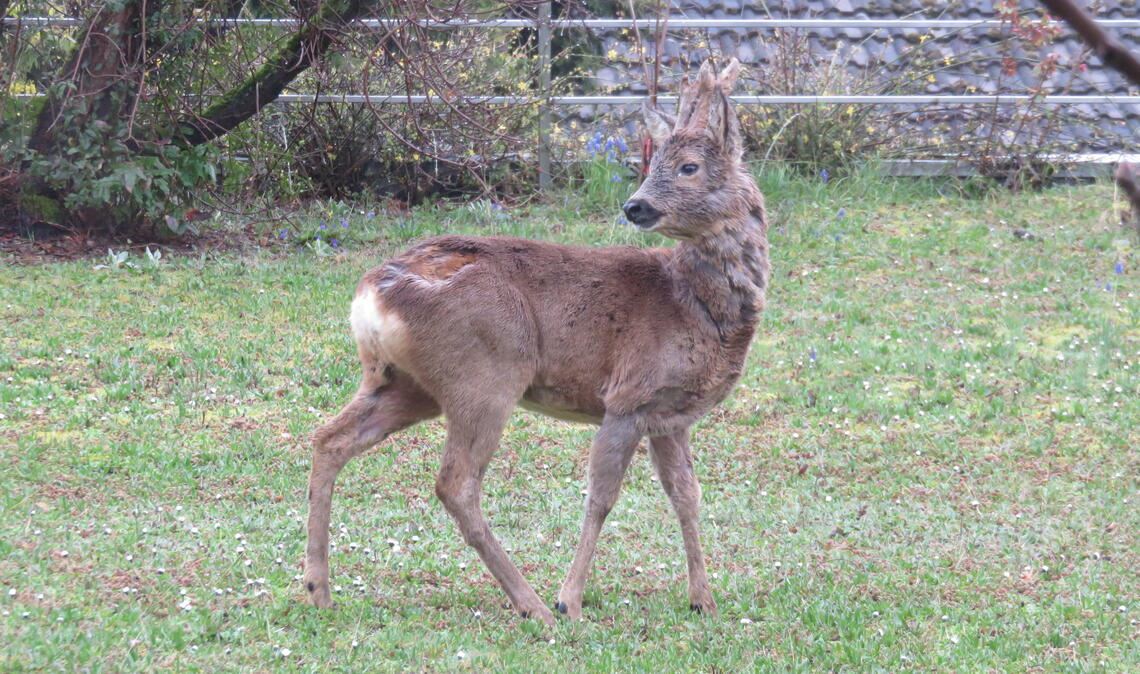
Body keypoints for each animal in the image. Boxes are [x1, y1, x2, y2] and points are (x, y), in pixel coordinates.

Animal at [302, 58, 769, 626]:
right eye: (655, 161)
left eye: (688, 167)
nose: (635, 206)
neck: (695, 305)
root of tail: (371, 296)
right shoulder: (629, 395)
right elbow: (601, 497)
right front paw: (570, 599)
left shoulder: (671, 413)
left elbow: (687, 495)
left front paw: (703, 598)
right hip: (486, 373)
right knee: (455, 483)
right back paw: (534, 606)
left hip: (402, 382)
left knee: (329, 440)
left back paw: (319, 589)